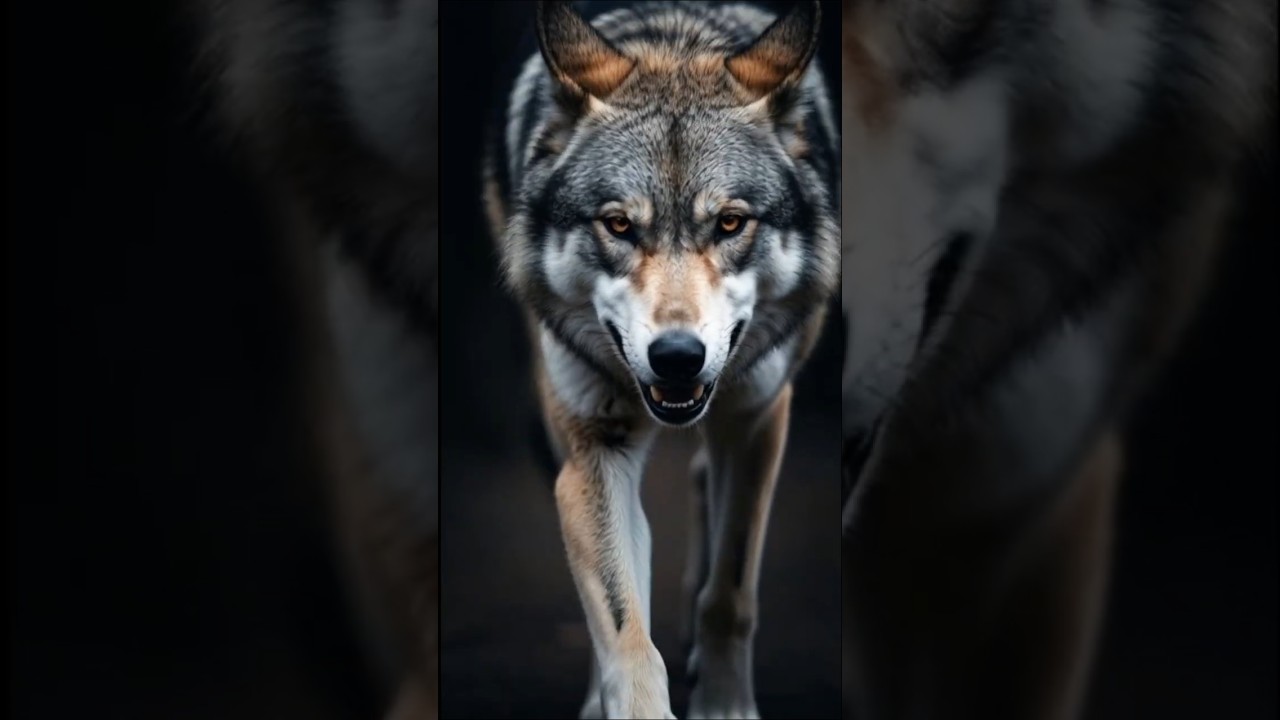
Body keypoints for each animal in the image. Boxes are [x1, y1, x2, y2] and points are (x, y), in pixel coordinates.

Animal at [483, 1, 840, 717]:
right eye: (619, 225)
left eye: (730, 223)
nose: (677, 357)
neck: (676, 44)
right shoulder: (597, 447)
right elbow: (628, 638)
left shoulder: (758, 419)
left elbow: (729, 594)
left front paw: (724, 703)